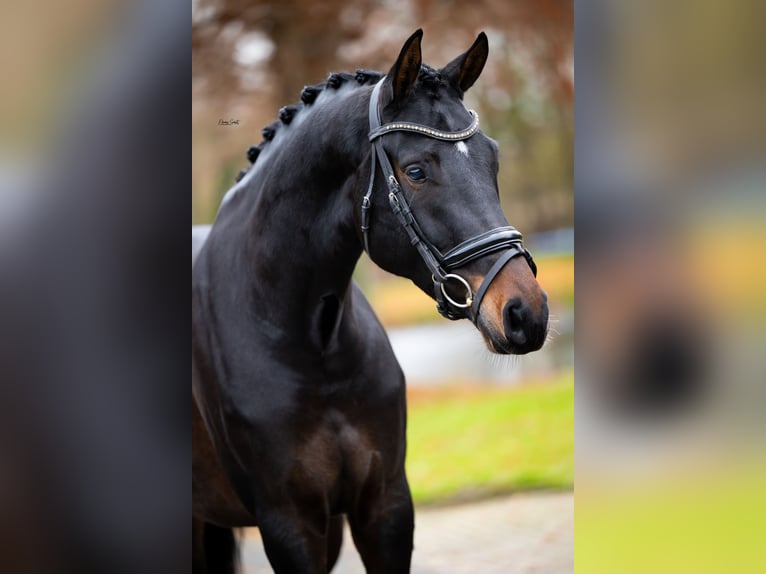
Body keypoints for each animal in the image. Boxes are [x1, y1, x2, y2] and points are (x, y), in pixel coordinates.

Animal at [192, 29, 549, 573]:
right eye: (416, 171)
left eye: (493, 159)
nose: (526, 314)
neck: (312, 345)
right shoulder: (288, 524)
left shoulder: (384, 506)